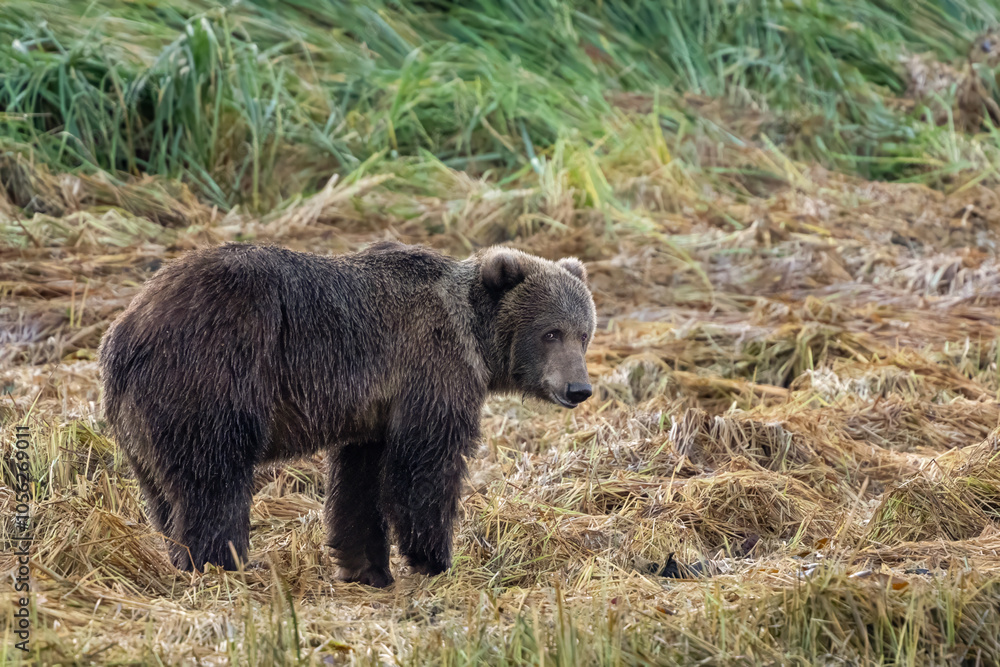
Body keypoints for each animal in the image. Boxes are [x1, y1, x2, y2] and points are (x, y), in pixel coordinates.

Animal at [98, 241, 595, 586]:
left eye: (584, 333)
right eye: (551, 332)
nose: (579, 388)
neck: (473, 333)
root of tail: (126, 330)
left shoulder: (372, 412)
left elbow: (361, 483)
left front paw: (367, 568)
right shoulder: (430, 370)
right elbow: (426, 467)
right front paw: (434, 559)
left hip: (144, 421)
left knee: (166, 493)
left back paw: (184, 558)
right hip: (215, 378)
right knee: (215, 481)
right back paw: (225, 563)